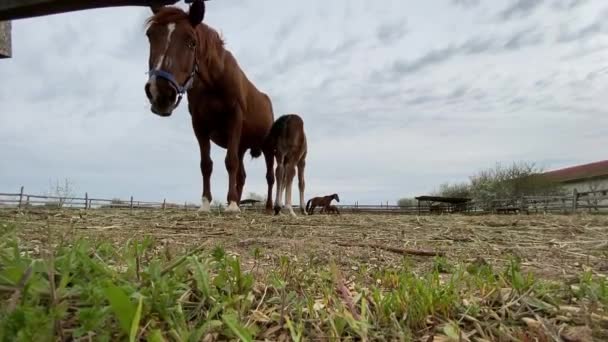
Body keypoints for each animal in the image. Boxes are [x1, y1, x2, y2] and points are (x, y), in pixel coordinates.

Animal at [141, 0, 274, 214]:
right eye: (150, 35)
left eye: (191, 42)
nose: (160, 92)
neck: (214, 81)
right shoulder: (199, 125)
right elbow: (206, 165)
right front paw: (206, 204)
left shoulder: (234, 119)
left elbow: (230, 162)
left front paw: (232, 205)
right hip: (242, 145)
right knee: (242, 175)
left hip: (268, 147)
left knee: (270, 176)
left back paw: (268, 207)